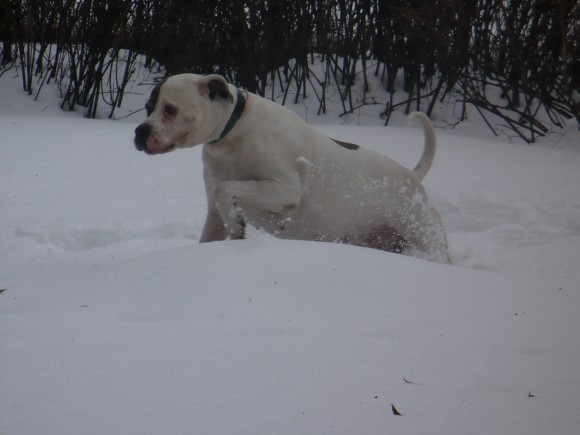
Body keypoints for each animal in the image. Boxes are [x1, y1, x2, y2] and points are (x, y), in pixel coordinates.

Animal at [135, 73, 448, 262]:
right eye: (148, 106)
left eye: (170, 109)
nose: (139, 132)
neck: (234, 133)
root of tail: (413, 176)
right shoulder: (214, 214)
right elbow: (220, 204)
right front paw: (235, 226)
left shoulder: (283, 188)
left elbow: (227, 188)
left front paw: (238, 224)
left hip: (425, 236)